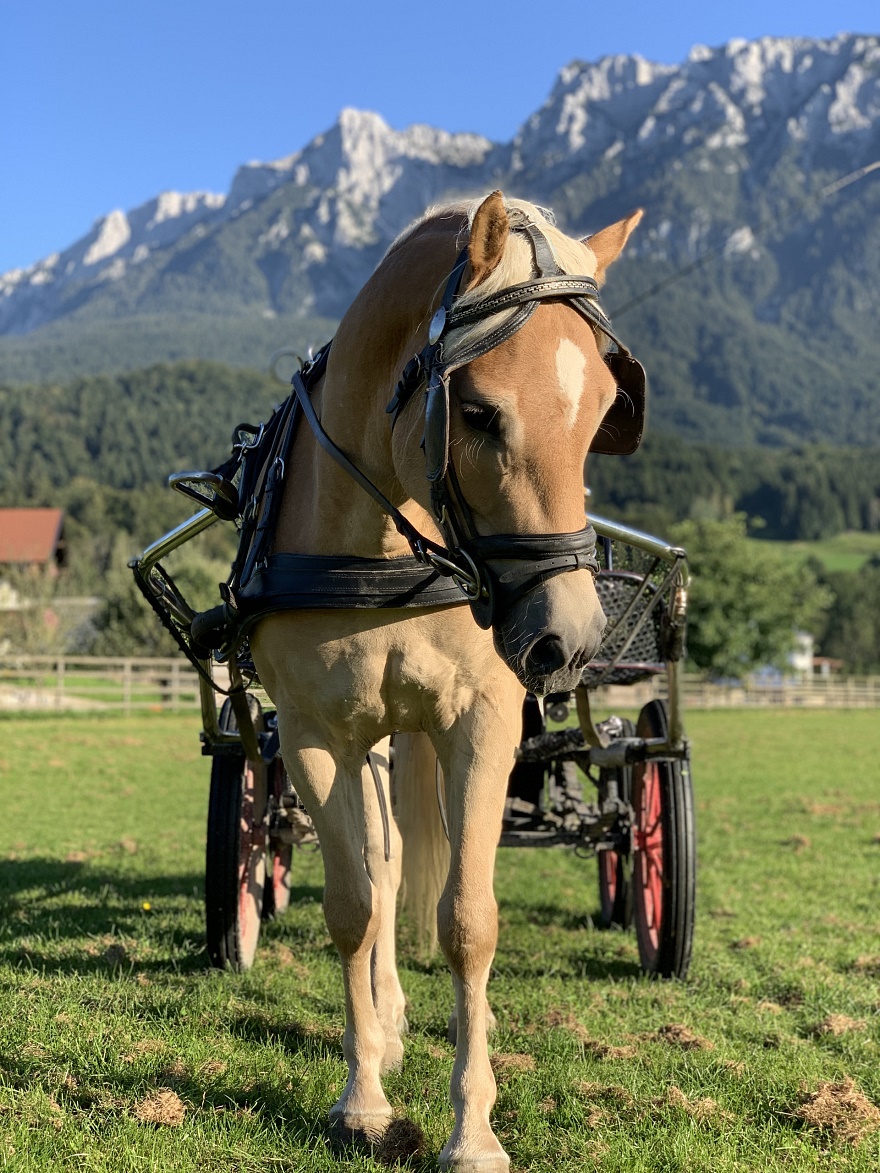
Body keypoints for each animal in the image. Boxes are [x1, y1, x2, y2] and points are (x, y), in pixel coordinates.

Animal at [251, 192, 642, 1163]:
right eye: (478, 412)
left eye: (602, 413)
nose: (570, 638)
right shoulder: (315, 734)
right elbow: (354, 904)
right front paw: (363, 1098)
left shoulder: (484, 721)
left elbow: (470, 921)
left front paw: (474, 1128)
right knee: (386, 865)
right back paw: (386, 1023)